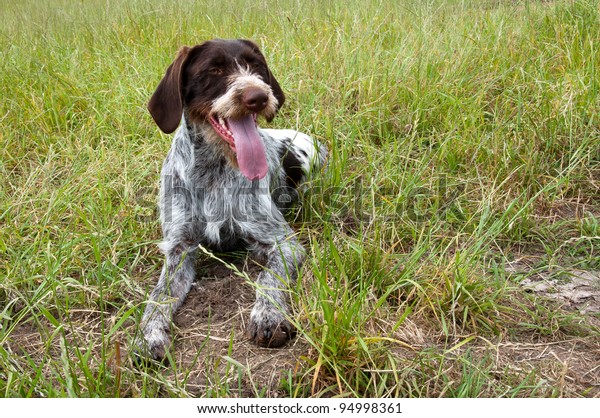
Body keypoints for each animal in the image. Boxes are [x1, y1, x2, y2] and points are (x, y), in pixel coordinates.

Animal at [137, 38, 326, 360]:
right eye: (213, 69)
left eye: (256, 65)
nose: (258, 96)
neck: (212, 171)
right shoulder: (179, 249)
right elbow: (158, 295)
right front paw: (149, 333)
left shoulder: (283, 243)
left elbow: (268, 279)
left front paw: (267, 316)